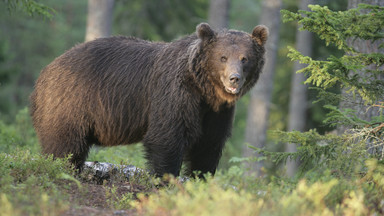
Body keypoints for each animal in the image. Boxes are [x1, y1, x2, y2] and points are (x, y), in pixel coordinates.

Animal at [30, 22, 268, 177]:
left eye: (245, 58)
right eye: (223, 57)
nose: (234, 78)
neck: (204, 89)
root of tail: (44, 73)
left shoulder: (216, 112)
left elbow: (208, 144)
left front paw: (200, 178)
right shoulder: (173, 94)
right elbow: (166, 137)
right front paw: (167, 179)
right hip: (71, 103)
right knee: (64, 144)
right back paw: (62, 169)